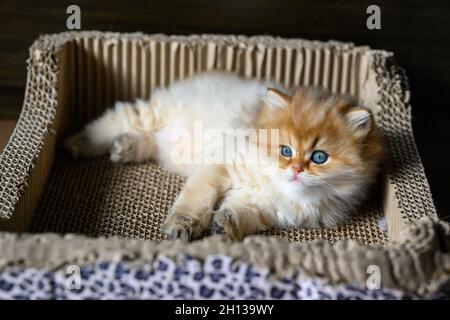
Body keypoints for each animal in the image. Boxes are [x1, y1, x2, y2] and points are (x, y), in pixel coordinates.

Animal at [65, 72, 384, 241]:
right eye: (285, 151)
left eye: (319, 157)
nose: (296, 170)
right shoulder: (219, 166)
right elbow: (197, 202)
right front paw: (183, 227)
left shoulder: (265, 210)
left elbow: (238, 214)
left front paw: (223, 227)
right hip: (150, 113)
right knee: (110, 123)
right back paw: (76, 144)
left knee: (149, 142)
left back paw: (124, 148)